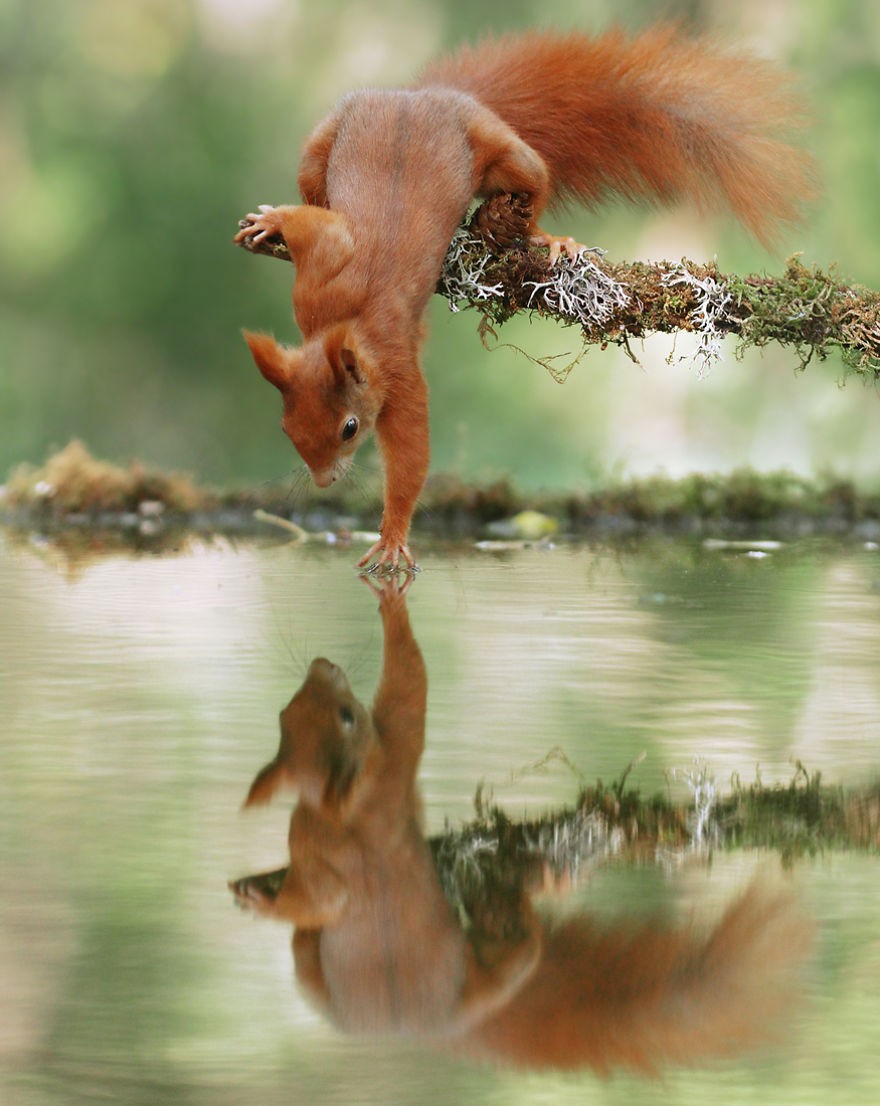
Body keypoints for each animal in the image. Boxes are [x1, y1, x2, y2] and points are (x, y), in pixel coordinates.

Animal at [228, 579, 809, 1070]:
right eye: (345, 716)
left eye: (286, 713)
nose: (322, 664)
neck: (340, 810)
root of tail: (433, 1031)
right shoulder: (392, 766)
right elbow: (410, 687)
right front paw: (393, 604)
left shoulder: (312, 836)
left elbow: (314, 895)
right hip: (477, 969)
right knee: (518, 942)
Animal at [233, 28, 809, 570]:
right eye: (285, 425)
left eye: (350, 428)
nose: (324, 481)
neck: (344, 324)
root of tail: (427, 95)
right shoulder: (321, 273)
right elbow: (313, 223)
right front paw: (271, 221)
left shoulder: (396, 369)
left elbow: (411, 456)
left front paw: (393, 538)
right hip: (323, 144)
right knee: (313, 186)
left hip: (501, 151)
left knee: (532, 179)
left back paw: (545, 238)